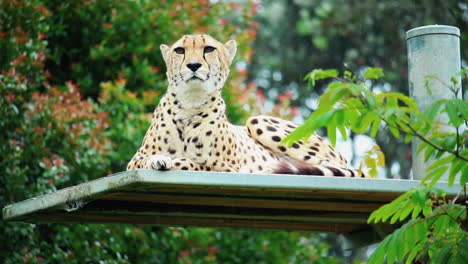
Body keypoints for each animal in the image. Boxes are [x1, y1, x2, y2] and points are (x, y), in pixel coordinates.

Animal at [127, 34, 362, 176]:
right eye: (179, 51)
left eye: (209, 49)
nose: (193, 65)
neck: (190, 105)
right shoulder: (133, 161)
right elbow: (147, 159)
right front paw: (159, 160)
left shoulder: (227, 168)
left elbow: (192, 163)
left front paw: (172, 161)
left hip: (258, 120)